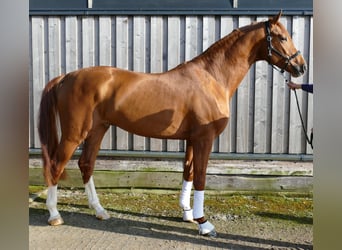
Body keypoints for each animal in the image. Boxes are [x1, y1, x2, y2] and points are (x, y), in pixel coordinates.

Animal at [38, 10, 308, 235]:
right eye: (282, 37)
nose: (301, 67)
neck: (212, 78)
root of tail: (65, 77)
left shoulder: (192, 139)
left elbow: (188, 172)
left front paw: (188, 214)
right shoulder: (204, 139)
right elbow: (200, 177)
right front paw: (204, 223)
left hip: (97, 129)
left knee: (86, 165)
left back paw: (99, 210)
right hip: (74, 133)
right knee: (56, 165)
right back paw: (54, 214)